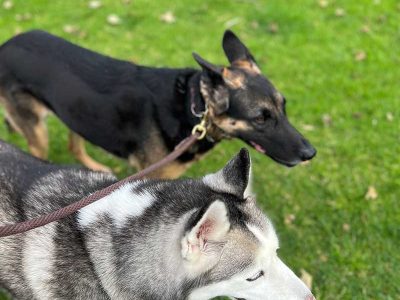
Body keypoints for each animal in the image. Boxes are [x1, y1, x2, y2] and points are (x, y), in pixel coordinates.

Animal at [0, 29, 316, 177]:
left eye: (283, 107)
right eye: (260, 118)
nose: (310, 153)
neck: (193, 109)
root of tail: (6, 44)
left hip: (74, 112)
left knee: (73, 145)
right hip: (38, 133)